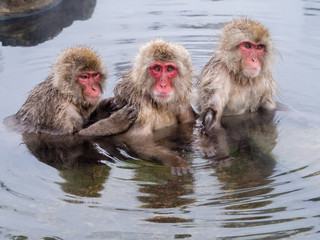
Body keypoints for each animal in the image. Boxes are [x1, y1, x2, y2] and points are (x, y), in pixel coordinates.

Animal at [4, 47, 136, 135]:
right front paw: (115, 122)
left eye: (95, 75)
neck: (65, 94)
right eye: (84, 77)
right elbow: (74, 137)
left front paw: (106, 107)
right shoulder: (64, 114)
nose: (94, 88)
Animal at [80, 39, 195, 174]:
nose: (163, 85)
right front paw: (174, 160)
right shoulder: (140, 109)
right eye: (157, 68)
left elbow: (188, 126)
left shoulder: (180, 104)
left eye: (170, 69)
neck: (158, 104)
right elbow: (138, 142)